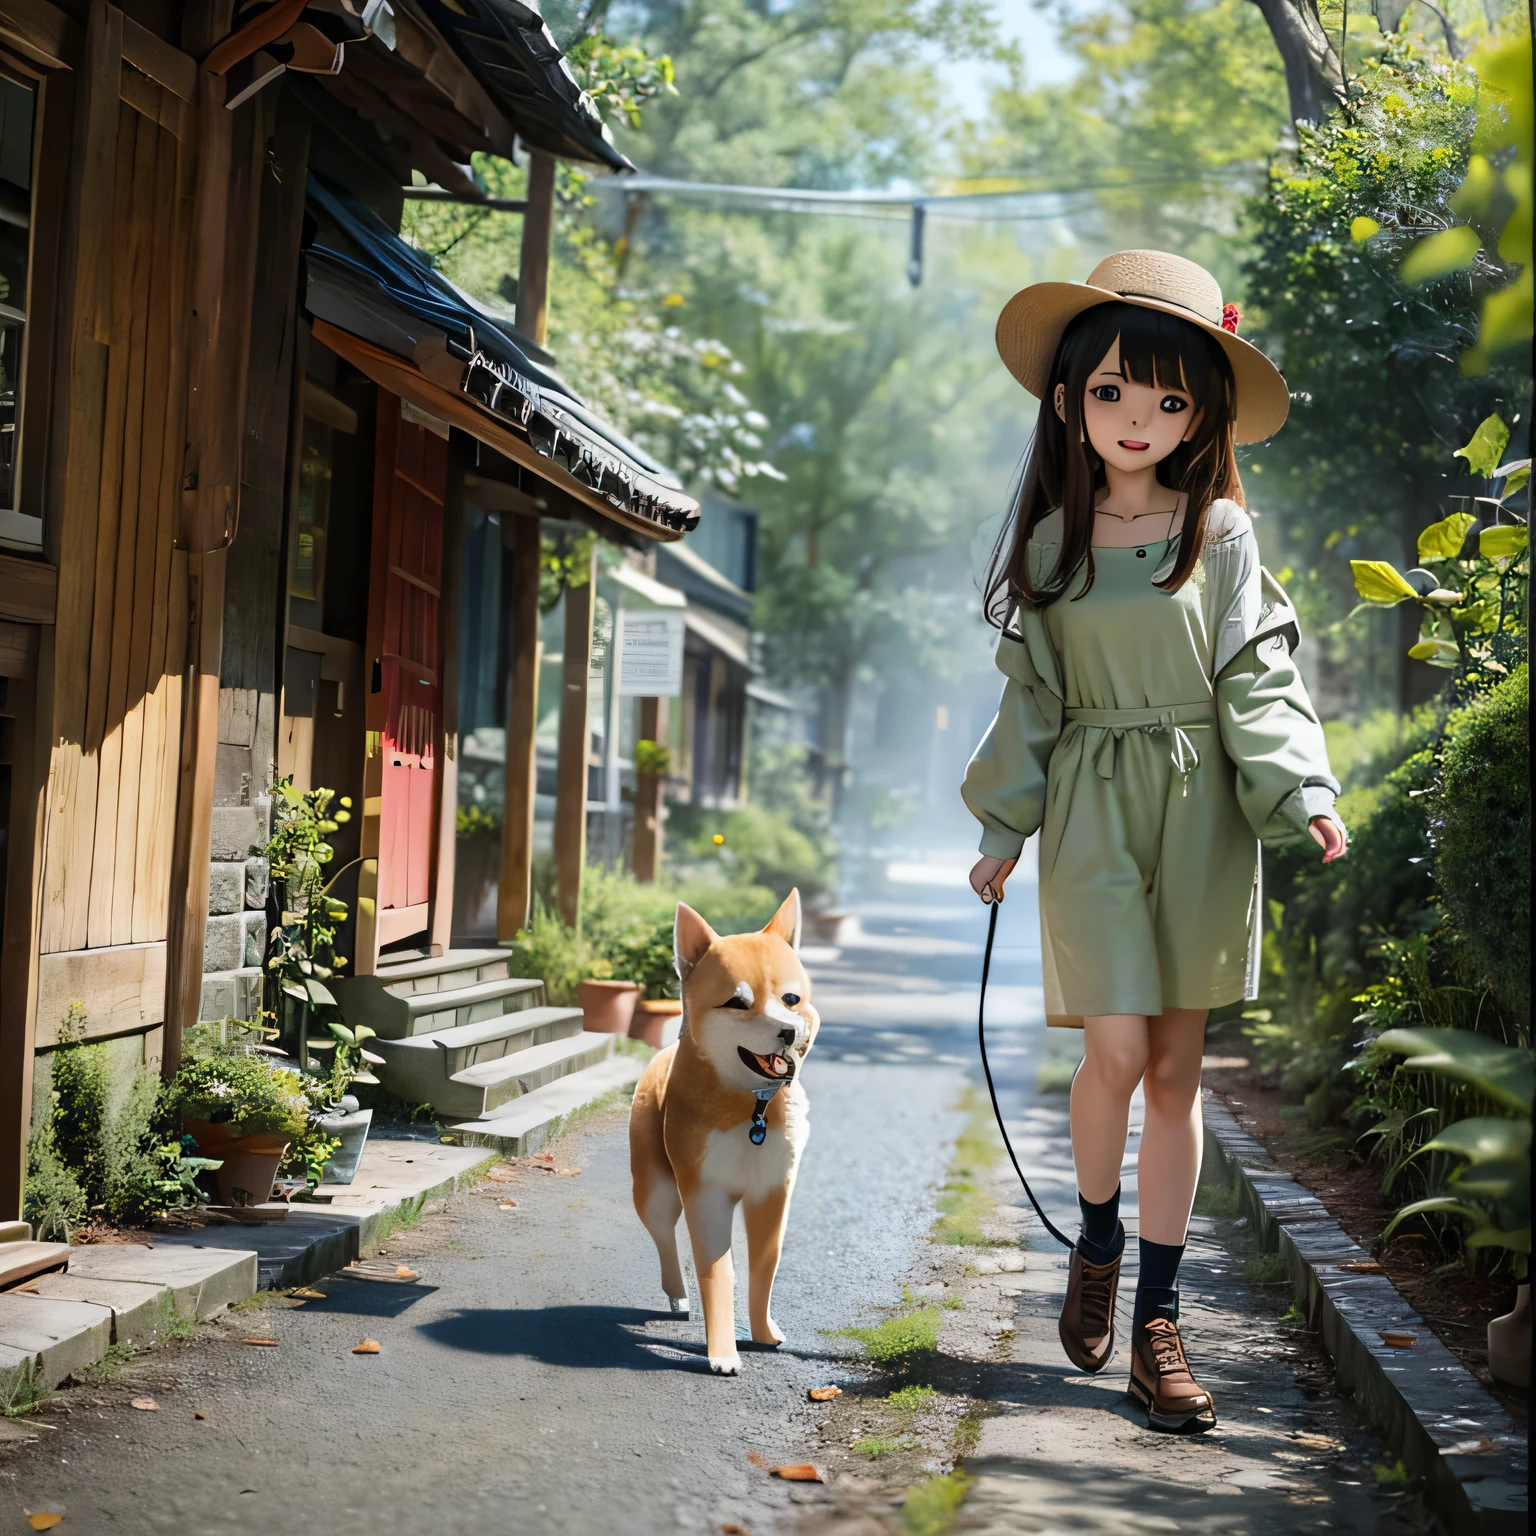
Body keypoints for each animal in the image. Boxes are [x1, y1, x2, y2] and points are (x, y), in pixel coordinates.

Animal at [626, 897, 817, 1376]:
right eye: (737, 1002)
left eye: (791, 999)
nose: (788, 1030)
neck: (753, 1107)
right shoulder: (707, 1192)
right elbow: (718, 1271)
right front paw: (723, 1353)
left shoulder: (772, 1190)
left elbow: (765, 1266)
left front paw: (763, 1332)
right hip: (656, 1191)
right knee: (663, 1236)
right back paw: (677, 1295)